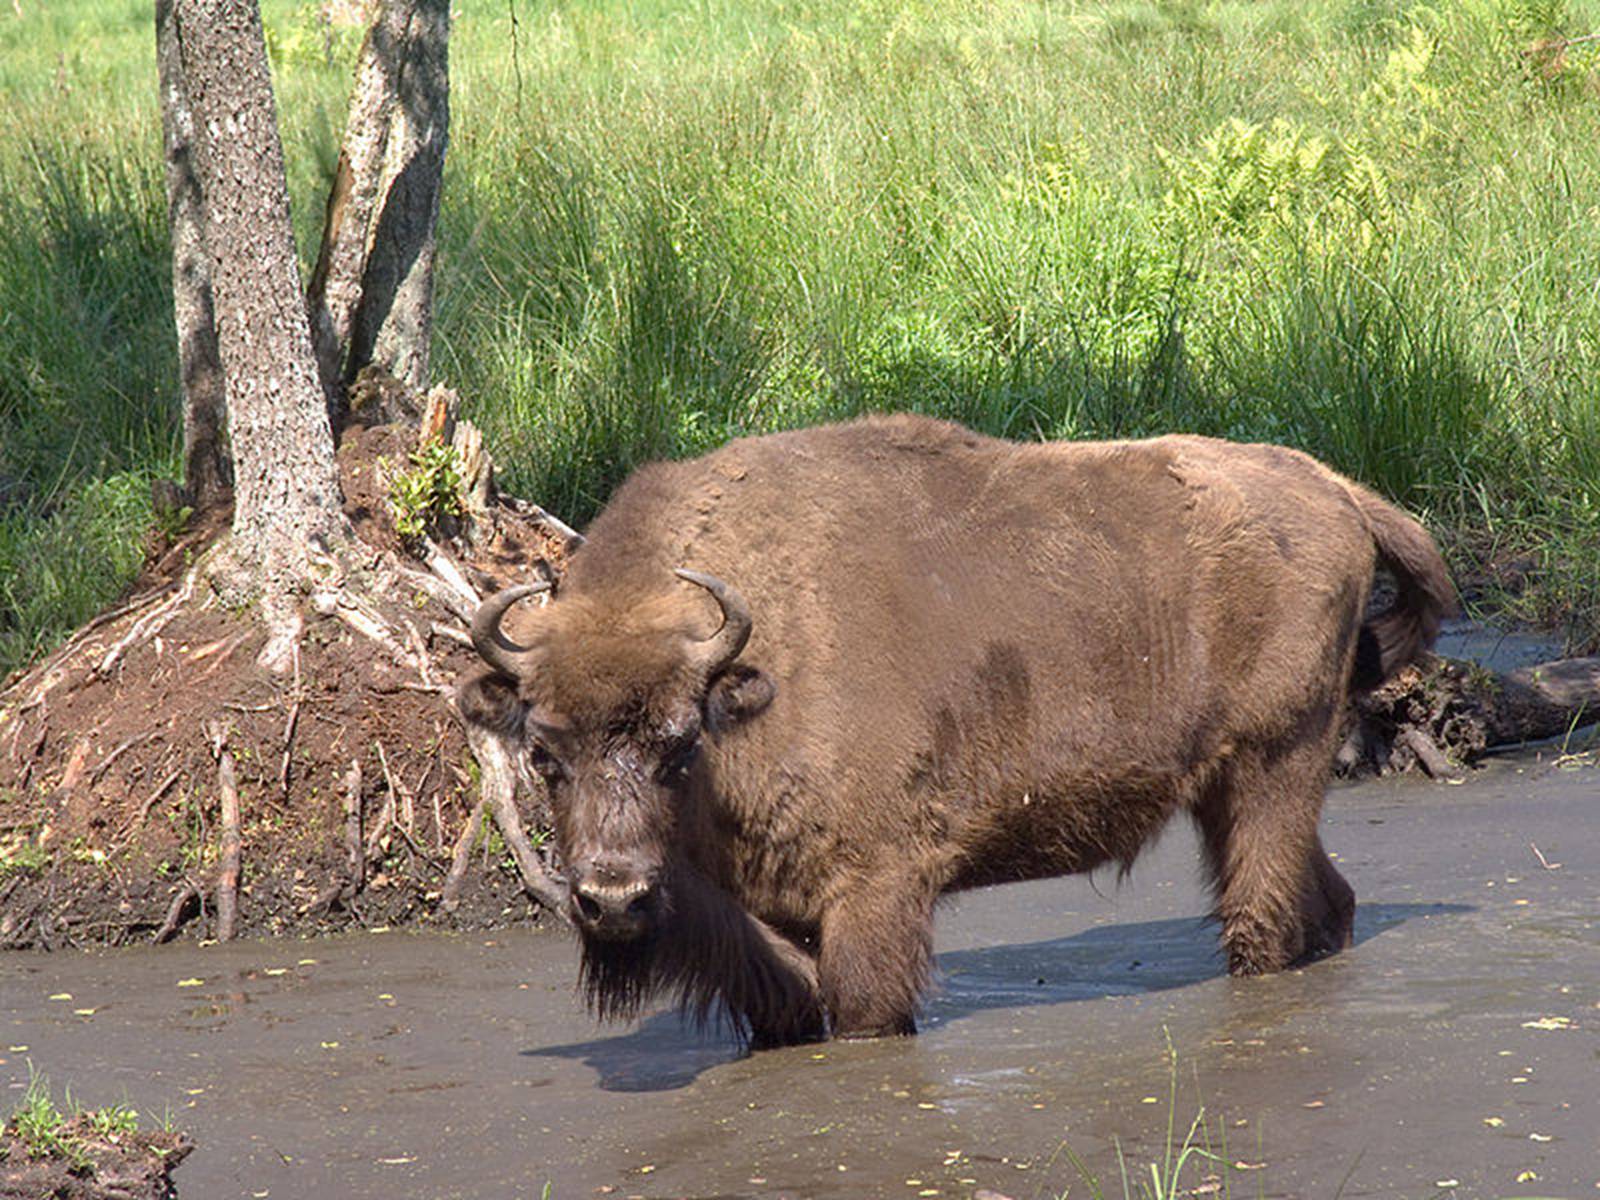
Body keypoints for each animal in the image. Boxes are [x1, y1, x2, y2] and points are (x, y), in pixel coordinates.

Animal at [457, 419, 1459, 1049]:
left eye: (678, 745)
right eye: (544, 753)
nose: (613, 899)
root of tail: (1335, 490)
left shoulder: (876, 890)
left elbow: (868, 1007)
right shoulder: (761, 925)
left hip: (1273, 766)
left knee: (1264, 916)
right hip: (1234, 786)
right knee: (1324, 899)